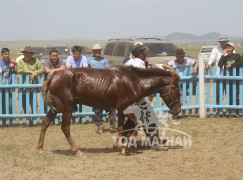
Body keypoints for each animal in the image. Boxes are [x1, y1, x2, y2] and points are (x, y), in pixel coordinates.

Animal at [36, 66, 180, 155]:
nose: (177, 109)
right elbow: (137, 124)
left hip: (56, 108)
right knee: (65, 128)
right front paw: (125, 148)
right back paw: (76, 151)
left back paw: (40, 148)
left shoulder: (121, 109)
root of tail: (52, 77)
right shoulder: (124, 106)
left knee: (45, 122)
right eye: (178, 90)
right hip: (67, 107)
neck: (134, 81)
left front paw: (120, 147)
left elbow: (121, 127)